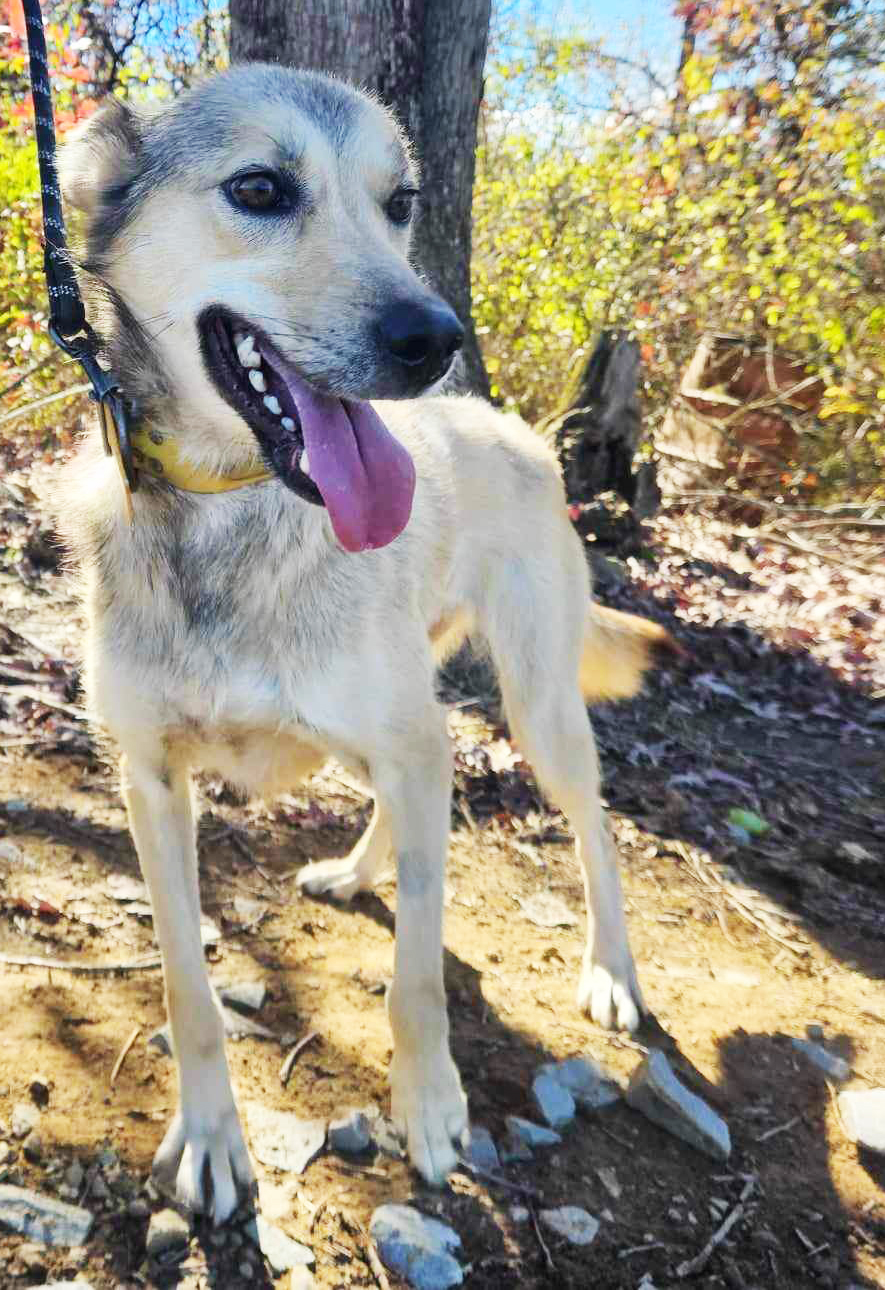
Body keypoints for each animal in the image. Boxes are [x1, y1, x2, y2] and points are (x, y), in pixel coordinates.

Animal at [57, 68, 670, 1217]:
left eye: (400, 202)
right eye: (259, 187)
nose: (434, 337)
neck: (236, 511)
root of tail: (516, 427)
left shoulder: (406, 745)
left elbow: (419, 980)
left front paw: (428, 1110)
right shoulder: (148, 781)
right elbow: (187, 985)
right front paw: (210, 1136)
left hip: (534, 709)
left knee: (590, 828)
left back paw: (611, 972)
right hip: (384, 728)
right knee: (425, 786)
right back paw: (354, 870)